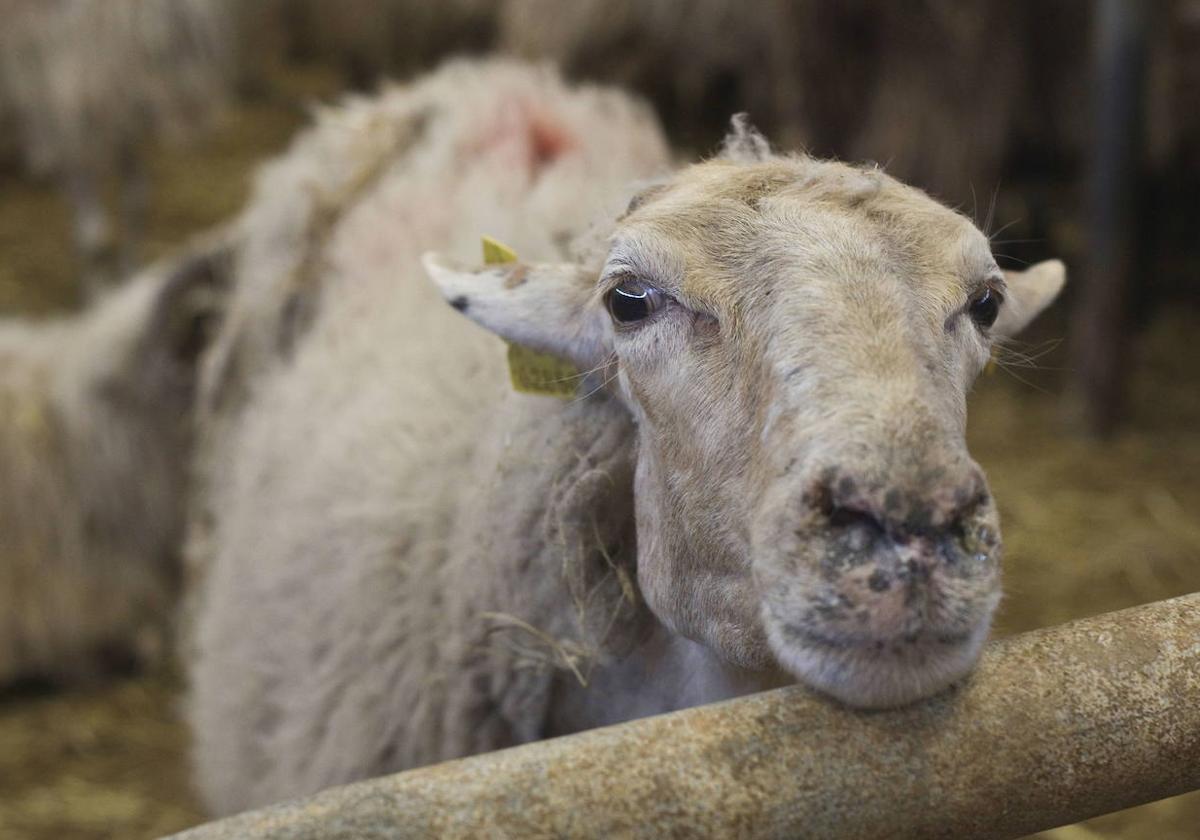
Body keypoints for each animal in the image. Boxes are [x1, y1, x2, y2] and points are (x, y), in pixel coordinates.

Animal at [0, 0, 234, 295]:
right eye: (157, 45)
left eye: (203, 39)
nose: (196, 113)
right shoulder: (70, 122)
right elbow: (93, 236)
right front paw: (97, 294)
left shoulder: (122, 130)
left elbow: (135, 202)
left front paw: (130, 278)